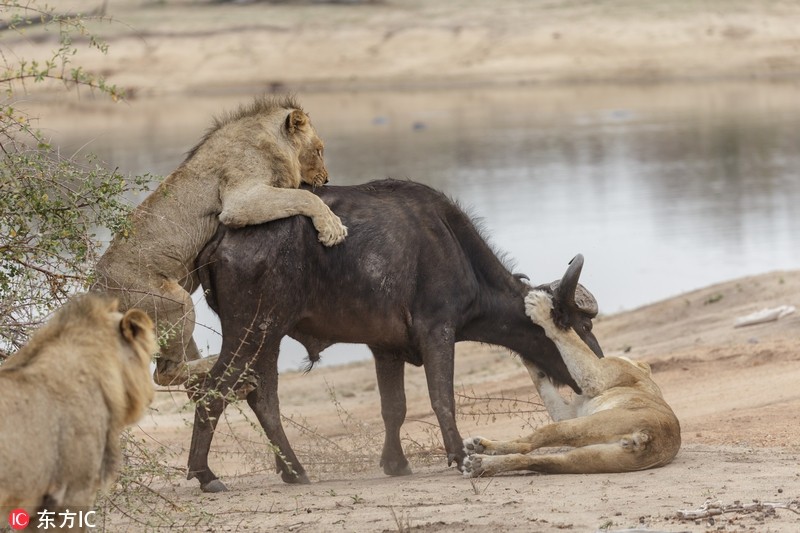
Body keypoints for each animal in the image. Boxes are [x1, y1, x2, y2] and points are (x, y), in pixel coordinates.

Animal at [92, 95, 346, 384]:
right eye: (319, 150)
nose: (327, 178)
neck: (269, 141)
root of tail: (97, 292)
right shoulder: (240, 200)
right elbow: (304, 196)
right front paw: (332, 228)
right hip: (175, 302)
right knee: (164, 375)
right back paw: (216, 362)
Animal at [189, 179, 600, 490]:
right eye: (583, 326)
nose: (597, 364)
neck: (455, 249)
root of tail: (222, 238)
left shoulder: (384, 348)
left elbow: (394, 407)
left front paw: (395, 462)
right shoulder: (438, 331)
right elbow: (442, 398)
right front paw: (459, 455)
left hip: (268, 338)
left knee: (263, 398)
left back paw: (293, 470)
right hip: (254, 331)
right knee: (214, 389)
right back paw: (206, 474)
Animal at [462, 288, 680, 476]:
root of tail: (650, 437)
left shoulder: (596, 376)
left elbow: (569, 336)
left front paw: (540, 308)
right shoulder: (568, 413)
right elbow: (542, 380)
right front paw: (528, 357)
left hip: (581, 425)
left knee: (528, 444)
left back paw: (480, 453)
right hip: (587, 457)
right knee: (534, 460)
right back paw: (479, 463)